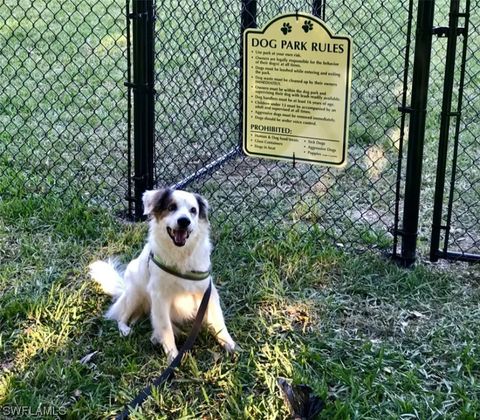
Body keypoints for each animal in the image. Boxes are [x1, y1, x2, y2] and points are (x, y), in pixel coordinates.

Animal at [89, 189, 236, 362]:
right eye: (171, 207)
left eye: (193, 210)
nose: (184, 221)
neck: (180, 255)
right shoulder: (160, 297)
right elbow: (166, 328)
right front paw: (172, 355)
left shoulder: (207, 292)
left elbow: (219, 320)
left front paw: (228, 343)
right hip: (135, 294)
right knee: (123, 316)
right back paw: (128, 329)